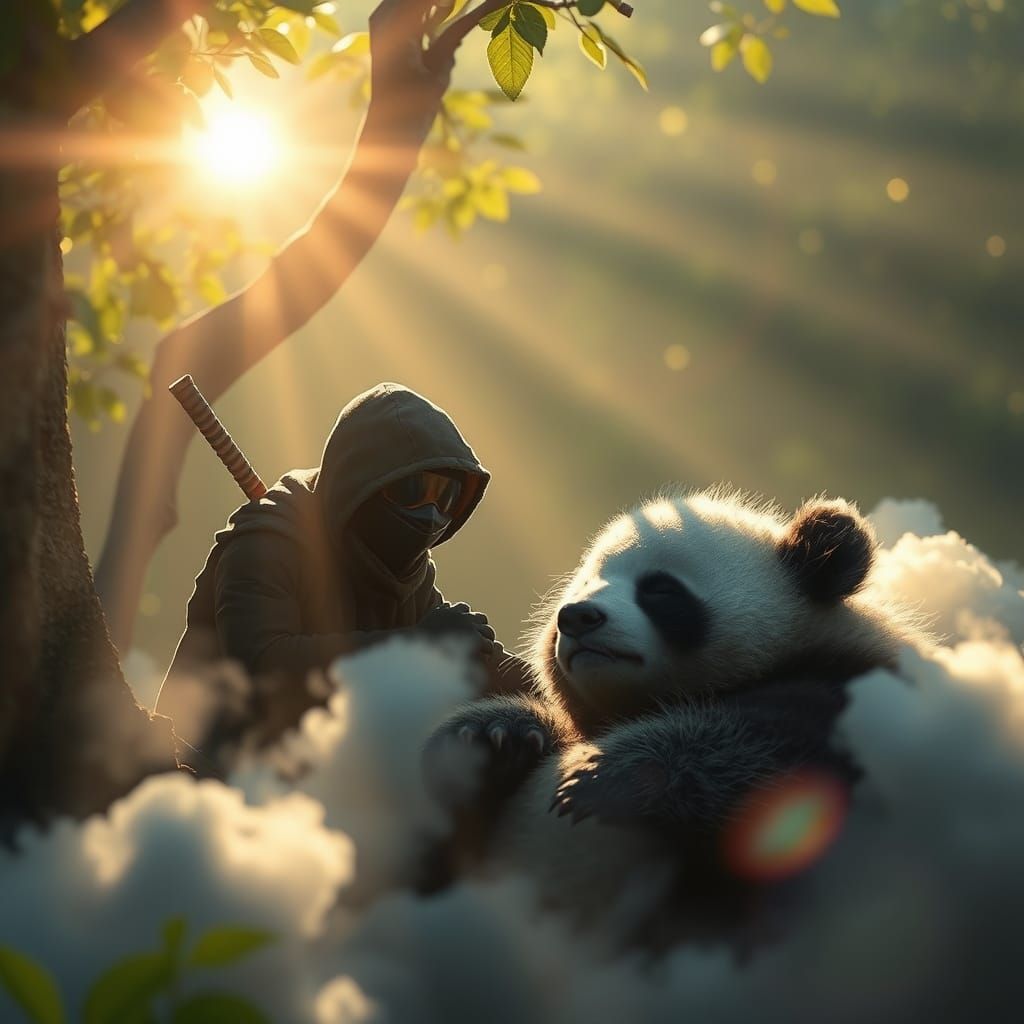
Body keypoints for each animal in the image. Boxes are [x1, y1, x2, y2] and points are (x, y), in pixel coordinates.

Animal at [421, 490, 925, 947]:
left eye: (660, 588)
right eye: (584, 584)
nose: (577, 617)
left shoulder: (854, 700)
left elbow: (769, 754)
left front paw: (603, 777)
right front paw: (495, 734)